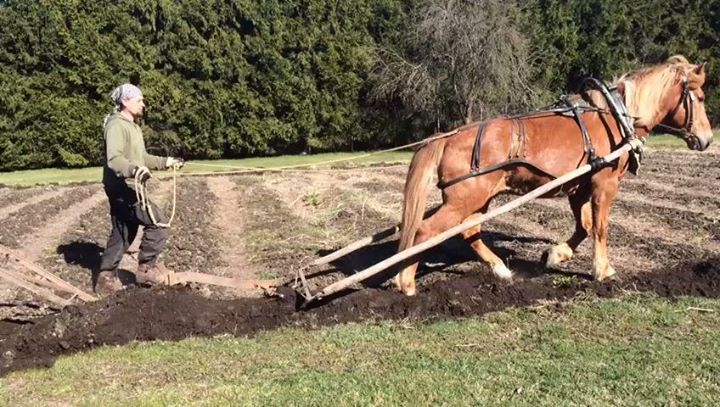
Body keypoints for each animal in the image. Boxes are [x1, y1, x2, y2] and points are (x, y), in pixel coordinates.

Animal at [396, 55, 712, 296]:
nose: (707, 139)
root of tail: (447, 137)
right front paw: (603, 270)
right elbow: (600, 227)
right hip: (463, 199)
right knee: (425, 231)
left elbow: (584, 227)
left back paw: (500, 269)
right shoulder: (604, 184)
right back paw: (407, 283)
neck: (615, 116)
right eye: (700, 97)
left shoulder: (579, 188)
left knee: (469, 231)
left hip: (477, 199)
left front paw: (554, 255)